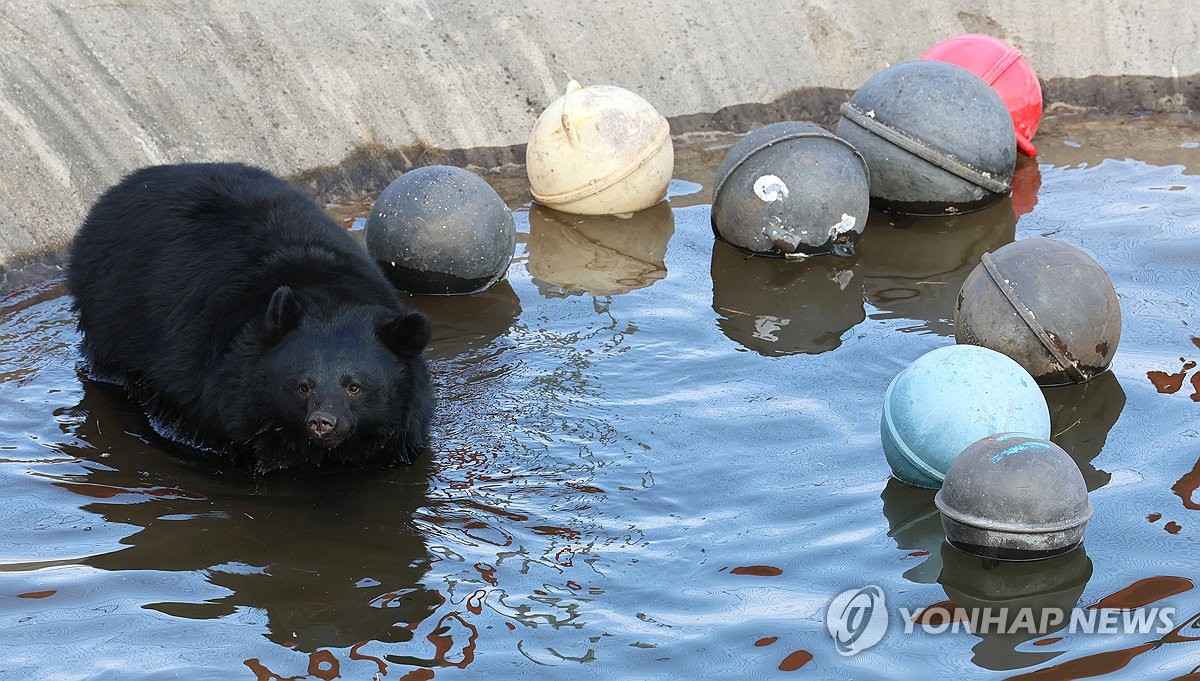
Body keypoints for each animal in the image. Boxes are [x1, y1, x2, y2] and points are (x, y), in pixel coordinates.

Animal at [68, 164, 434, 472]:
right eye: (303, 386)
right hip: (108, 308)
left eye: (355, 387)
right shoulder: (216, 382)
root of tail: (114, 191)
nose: (323, 422)